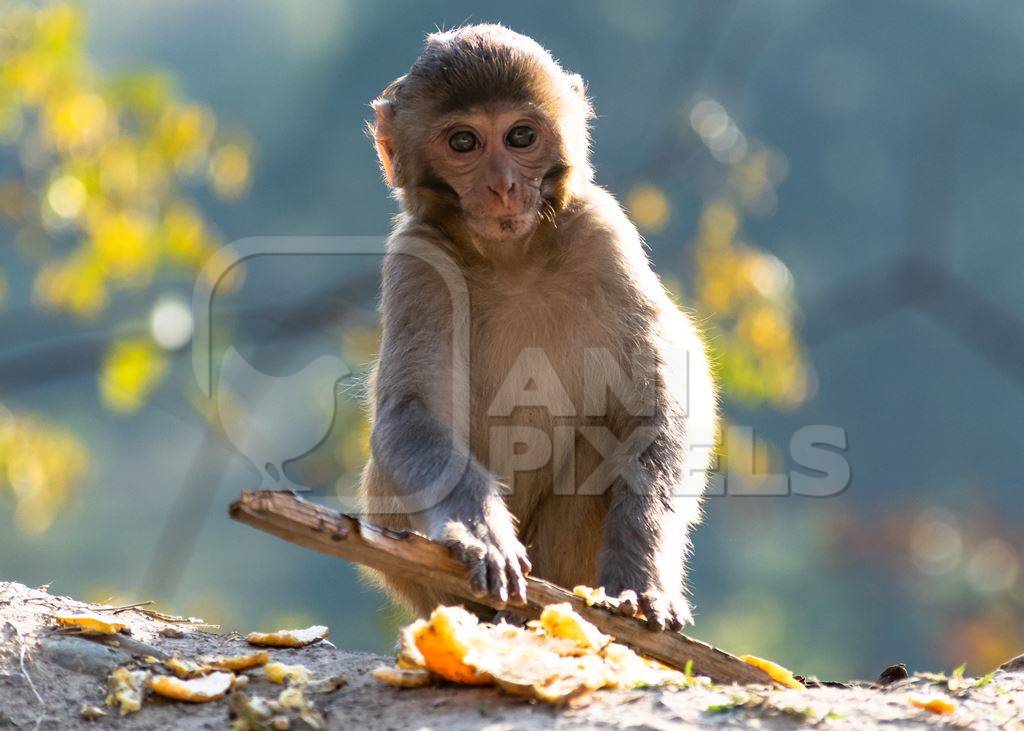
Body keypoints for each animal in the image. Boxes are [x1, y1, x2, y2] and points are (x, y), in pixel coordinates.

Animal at [364, 22, 716, 626]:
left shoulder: (603, 232)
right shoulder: (415, 262)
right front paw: (480, 532)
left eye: (521, 136)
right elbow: (412, 410)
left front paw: (641, 571)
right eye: (464, 143)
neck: (514, 261)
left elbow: (660, 394)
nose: (504, 185)